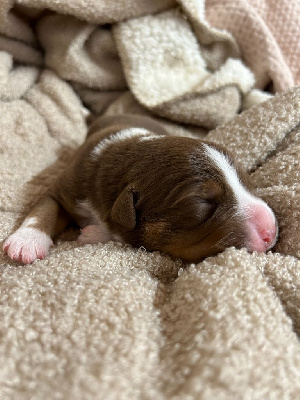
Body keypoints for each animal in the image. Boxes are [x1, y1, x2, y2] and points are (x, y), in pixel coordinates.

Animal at [3, 112, 278, 264]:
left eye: (247, 182)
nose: (271, 230)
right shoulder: (66, 185)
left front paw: (93, 233)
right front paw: (27, 241)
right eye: (200, 203)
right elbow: (44, 209)